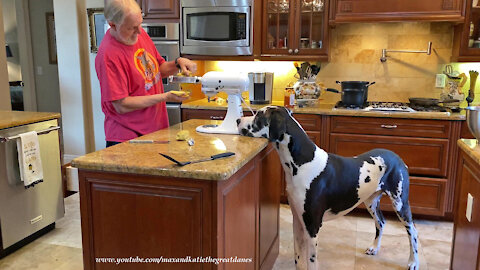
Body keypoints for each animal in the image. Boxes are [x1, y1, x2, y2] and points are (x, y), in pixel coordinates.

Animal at [238, 105, 418, 270]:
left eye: (258, 115)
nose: (238, 120)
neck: (303, 163)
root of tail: (397, 157)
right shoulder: (298, 221)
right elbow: (298, 258)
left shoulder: (313, 227)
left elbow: (311, 262)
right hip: (370, 202)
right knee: (381, 222)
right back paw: (374, 248)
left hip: (400, 203)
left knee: (413, 232)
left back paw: (413, 262)